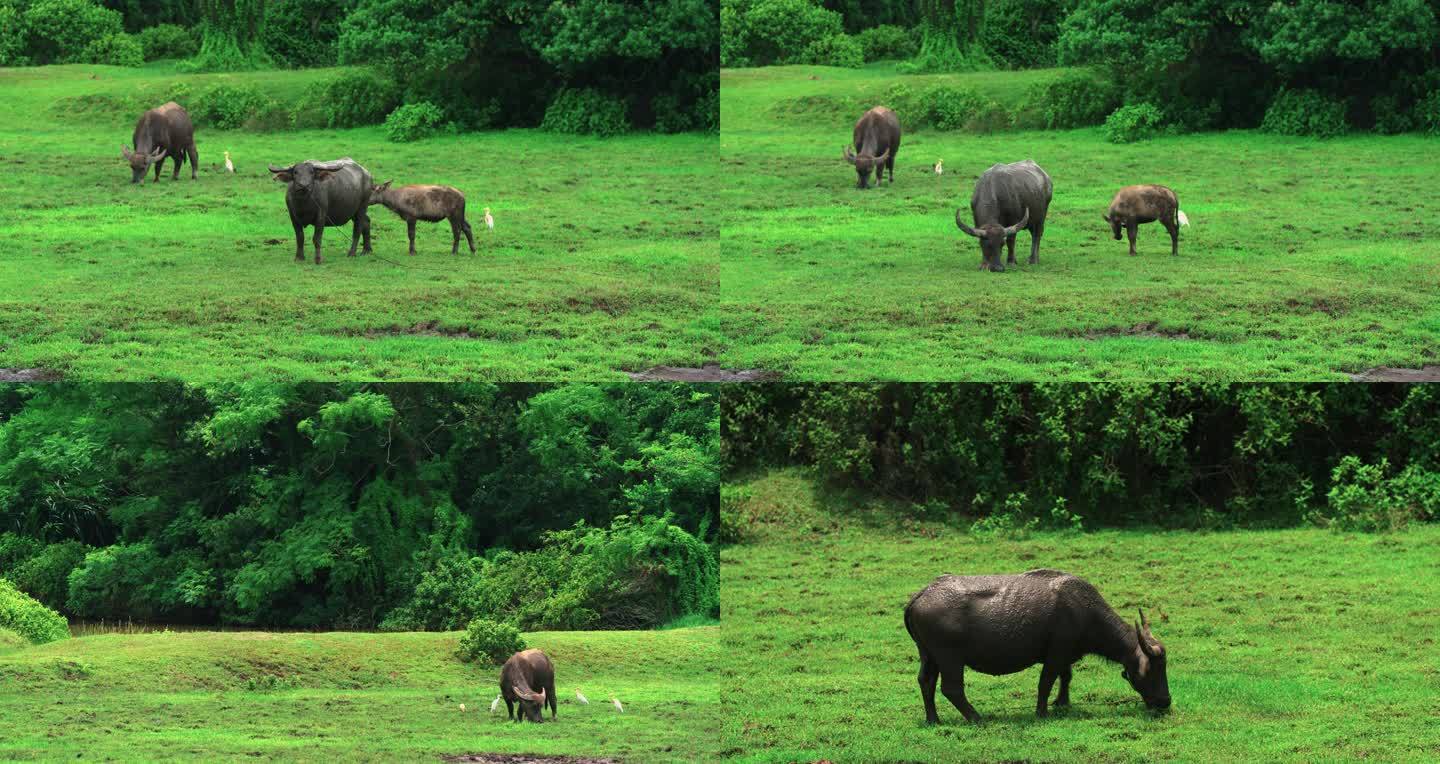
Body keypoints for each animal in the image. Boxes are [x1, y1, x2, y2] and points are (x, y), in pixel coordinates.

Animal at [910, 569, 1169, 725]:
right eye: (1152, 669)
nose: (1165, 702)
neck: (1085, 612)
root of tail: (920, 595)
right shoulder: (1055, 655)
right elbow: (1046, 682)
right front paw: (1042, 712)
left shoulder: (1064, 655)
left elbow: (1066, 677)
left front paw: (1062, 703)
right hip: (950, 658)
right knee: (952, 689)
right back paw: (976, 717)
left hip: (928, 655)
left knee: (926, 682)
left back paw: (933, 719)